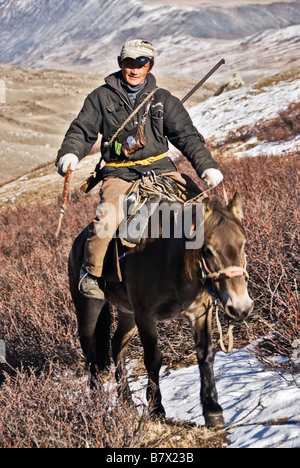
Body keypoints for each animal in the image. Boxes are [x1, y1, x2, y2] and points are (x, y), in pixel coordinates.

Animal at [68, 192, 253, 426]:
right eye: (208, 250)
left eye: (243, 244)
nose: (241, 307)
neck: (172, 259)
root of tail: (76, 245)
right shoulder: (145, 316)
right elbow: (153, 359)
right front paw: (156, 408)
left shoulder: (201, 311)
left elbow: (206, 354)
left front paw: (212, 409)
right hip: (88, 310)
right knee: (90, 355)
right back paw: (97, 405)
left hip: (127, 314)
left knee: (117, 345)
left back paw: (126, 401)